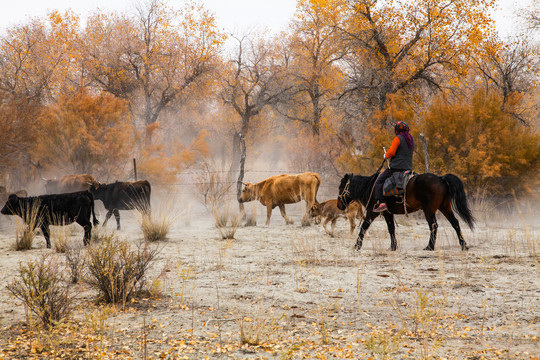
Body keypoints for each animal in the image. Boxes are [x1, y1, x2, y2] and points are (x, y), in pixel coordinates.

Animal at [336, 165, 474, 250]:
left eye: (341, 187)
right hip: (445, 207)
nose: (339, 205)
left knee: (433, 225)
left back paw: (429, 247)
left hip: (429, 210)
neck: (370, 187)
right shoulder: (387, 213)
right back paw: (463, 245)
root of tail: (441, 178)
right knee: (455, 223)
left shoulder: (372, 212)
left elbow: (364, 226)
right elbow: (391, 229)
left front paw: (357, 245)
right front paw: (393, 247)